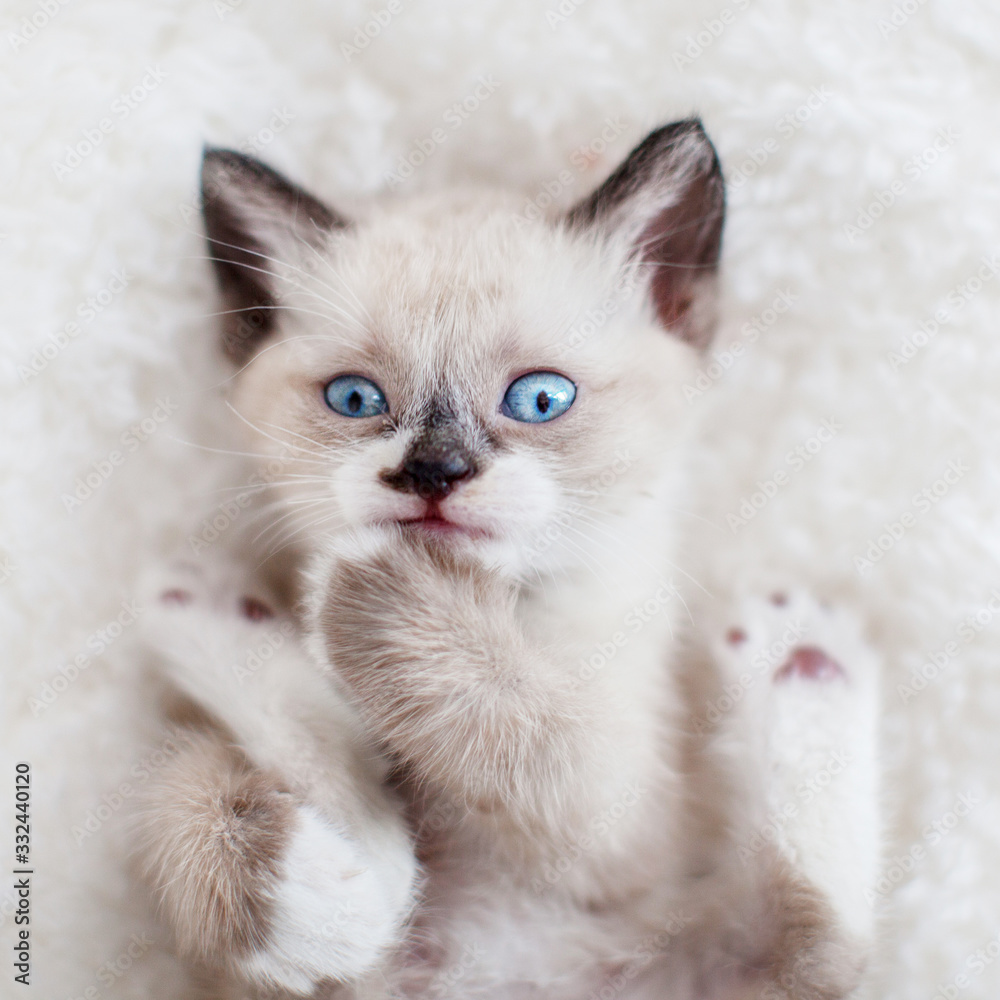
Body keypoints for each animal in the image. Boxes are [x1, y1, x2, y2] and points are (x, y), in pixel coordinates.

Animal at [135, 123, 884, 1000]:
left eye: (540, 399)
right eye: (356, 399)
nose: (434, 473)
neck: (489, 603)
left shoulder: (625, 828)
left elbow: (524, 728)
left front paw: (386, 602)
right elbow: (204, 792)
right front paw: (316, 896)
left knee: (811, 946)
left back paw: (802, 653)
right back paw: (213, 613)